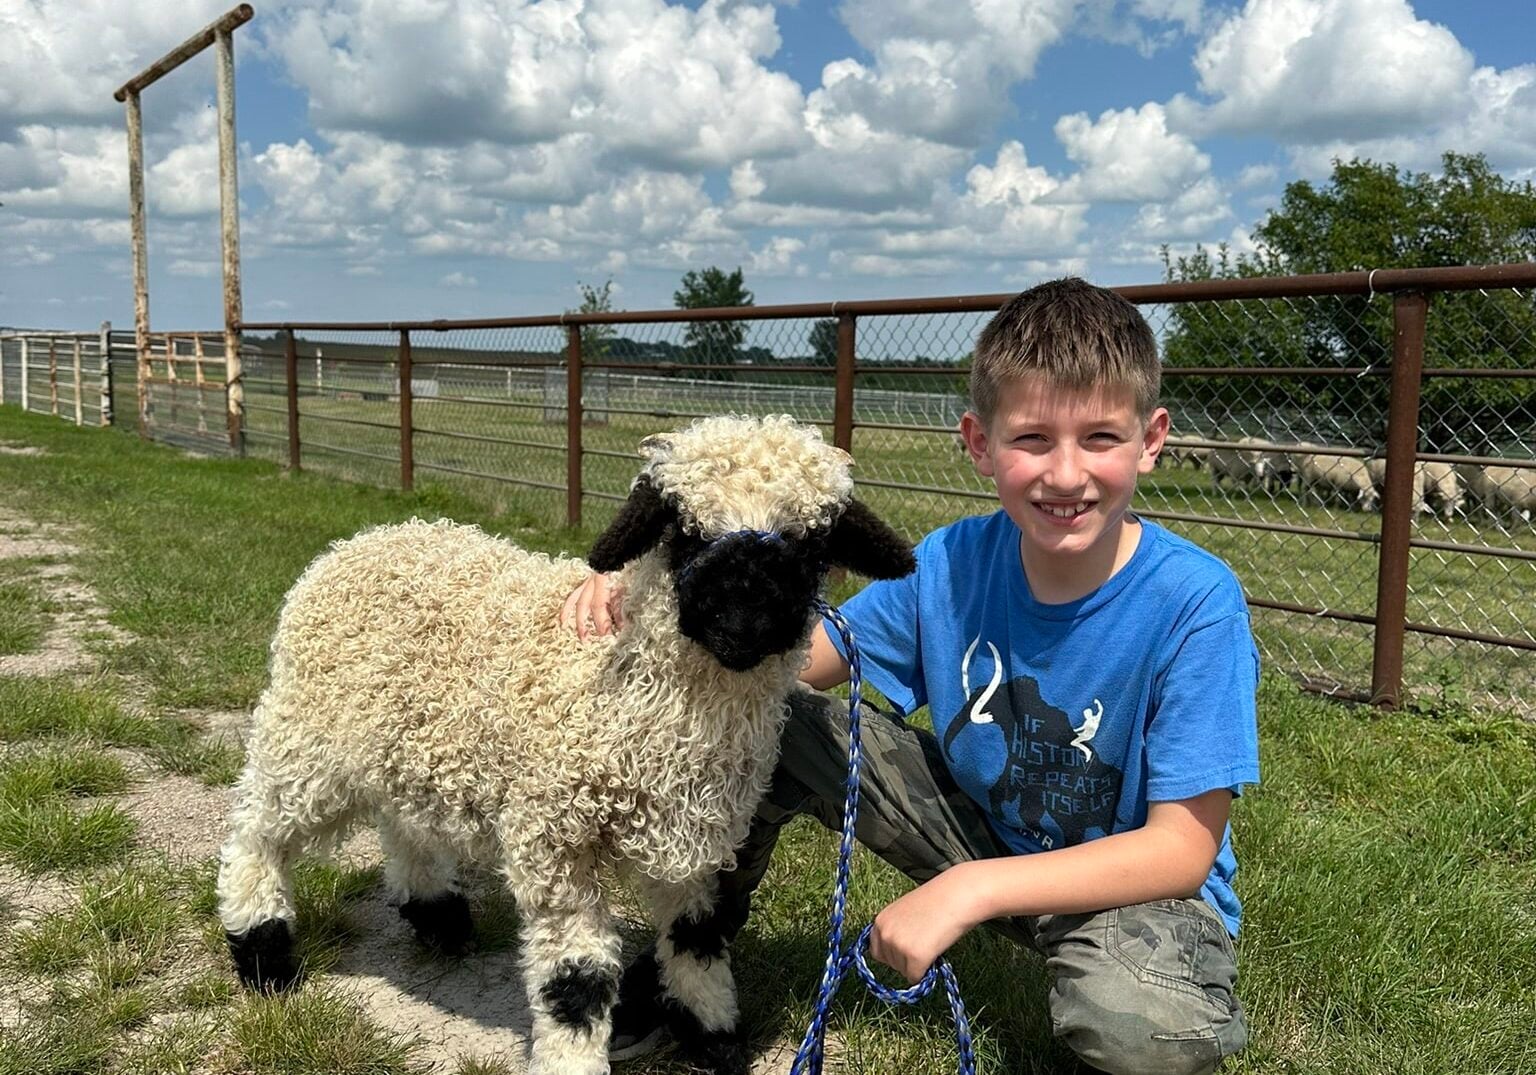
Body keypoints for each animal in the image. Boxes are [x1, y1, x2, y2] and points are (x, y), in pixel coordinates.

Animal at [216, 414, 915, 1075]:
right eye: (683, 531)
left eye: (812, 541)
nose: (745, 621)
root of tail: (356, 544)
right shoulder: (556, 840)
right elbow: (576, 980)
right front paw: (576, 1058)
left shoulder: (697, 838)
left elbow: (698, 939)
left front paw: (713, 1037)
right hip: (309, 734)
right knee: (256, 830)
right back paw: (263, 950)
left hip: (411, 744)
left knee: (402, 822)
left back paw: (438, 917)